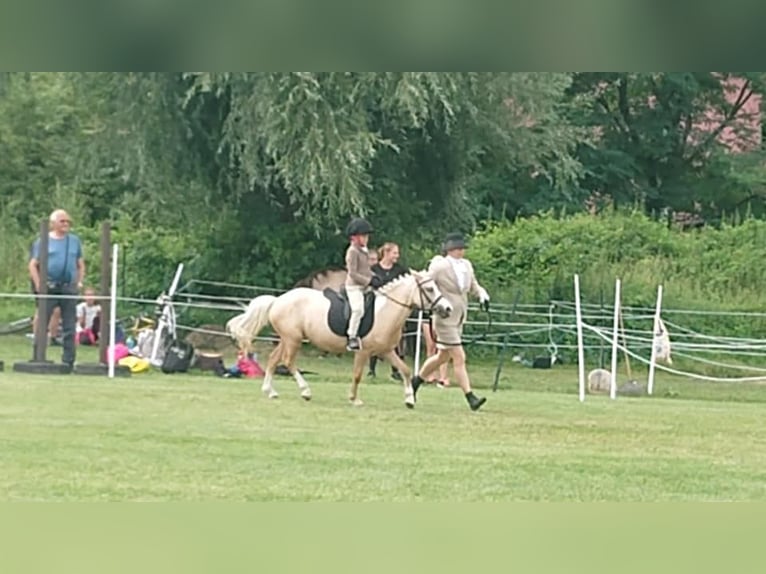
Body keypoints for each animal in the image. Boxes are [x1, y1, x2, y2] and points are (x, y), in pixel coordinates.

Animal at [225, 274, 452, 410]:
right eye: (430, 289)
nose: (448, 309)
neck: (385, 310)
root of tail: (278, 300)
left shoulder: (387, 351)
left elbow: (405, 370)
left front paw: (409, 399)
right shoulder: (363, 351)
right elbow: (358, 375)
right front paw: (354, 399)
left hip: (288, 339)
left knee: (273, 360)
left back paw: (270, 392)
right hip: (293, 340)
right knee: (288, 362)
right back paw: (305, 391)